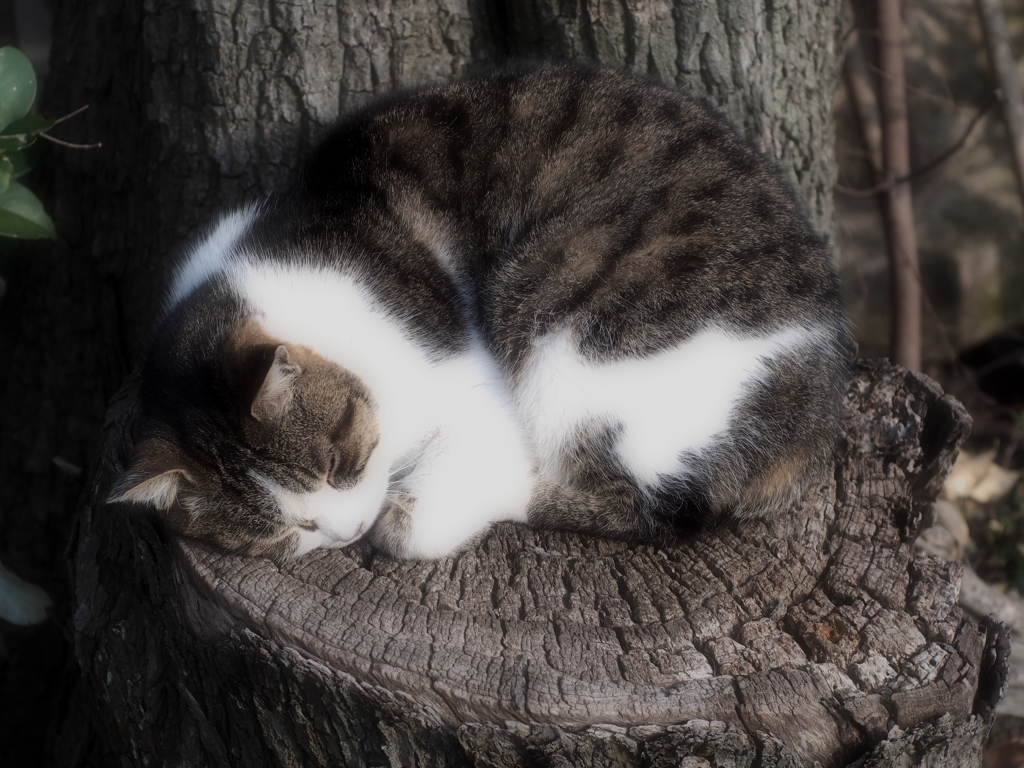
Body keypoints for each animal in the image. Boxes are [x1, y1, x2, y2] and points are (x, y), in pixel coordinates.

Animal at [108, 63, 851, 561]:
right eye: (285, 529)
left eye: (339, 466)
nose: (347, 532)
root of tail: (816, 419)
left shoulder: (474, 389)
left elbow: (424, 517)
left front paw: (405, 517)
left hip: (562, 334)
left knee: (650, 510)